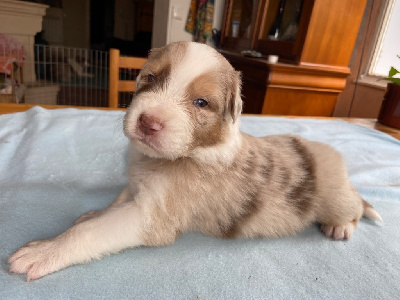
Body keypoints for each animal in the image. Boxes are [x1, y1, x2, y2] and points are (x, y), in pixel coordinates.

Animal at [7, 41, 382, 282]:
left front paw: (45, 250)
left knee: (353, 205)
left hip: (335, 194)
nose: (148, 122)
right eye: (150, 78)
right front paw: (95, 212)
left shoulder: (150, 216)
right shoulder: (137, 186)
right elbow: (114, 203)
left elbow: (89, 232)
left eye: (201, 102)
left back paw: (341, 225)